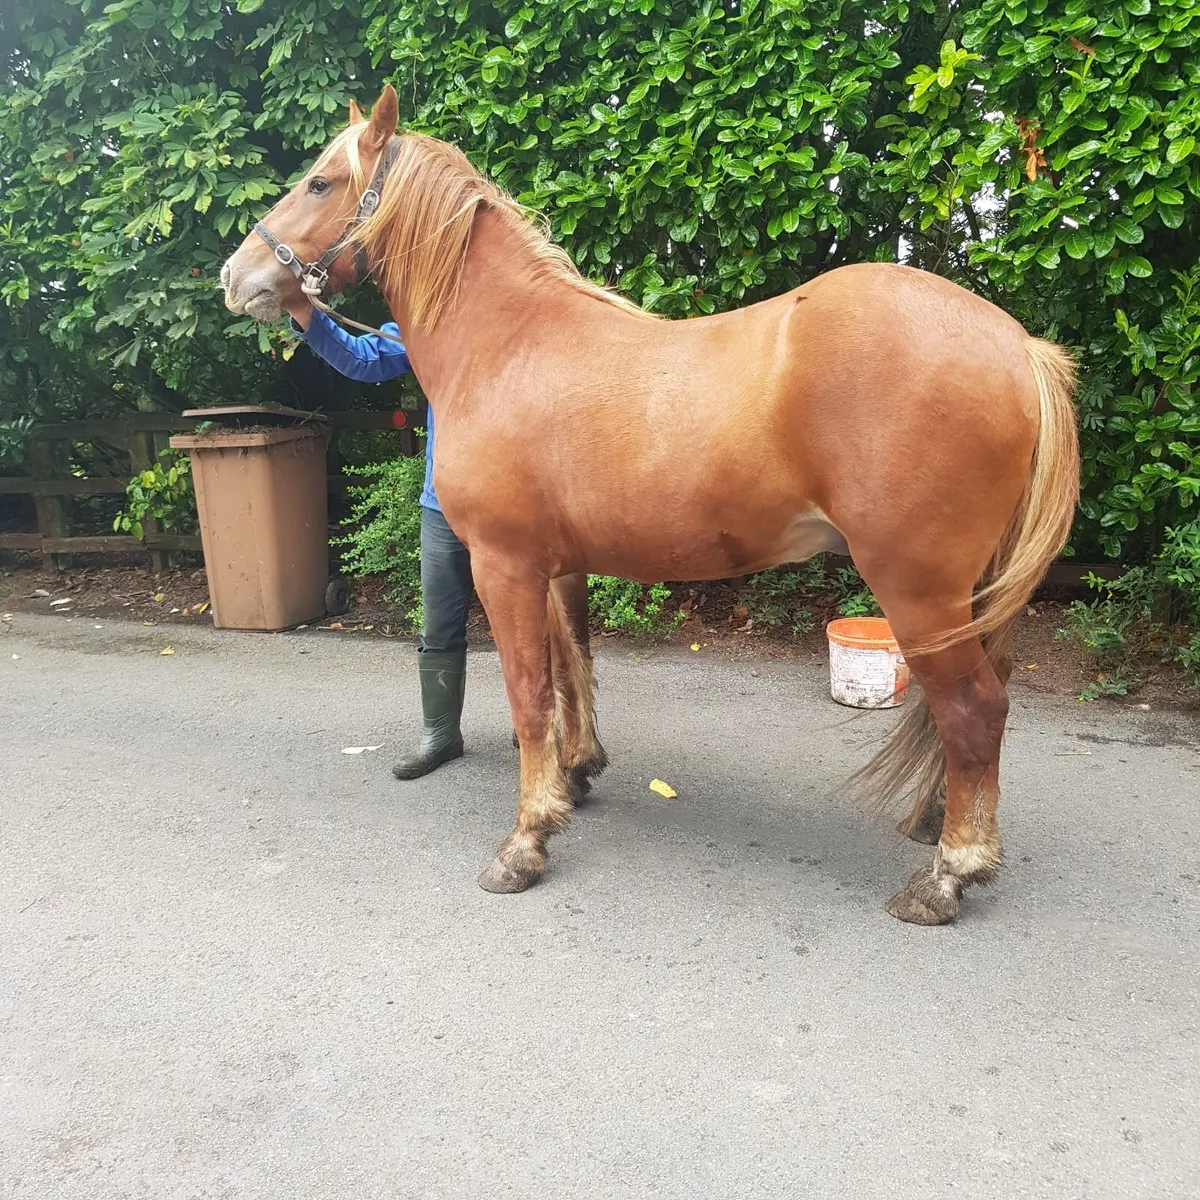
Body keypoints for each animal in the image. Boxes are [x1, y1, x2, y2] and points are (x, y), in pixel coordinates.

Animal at [221, 85, 1080, 925]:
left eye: (319, 183)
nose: (236, 275)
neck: (510, 343)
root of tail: (1018, 346)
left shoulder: (504, 565)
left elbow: (529, 694)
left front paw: (525, 844)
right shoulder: (557, 567)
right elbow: (572, 669)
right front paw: (574, 777)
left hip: (918, 591)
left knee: (973, 709)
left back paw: (948, 877)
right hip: (965, 597)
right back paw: (941, 826)